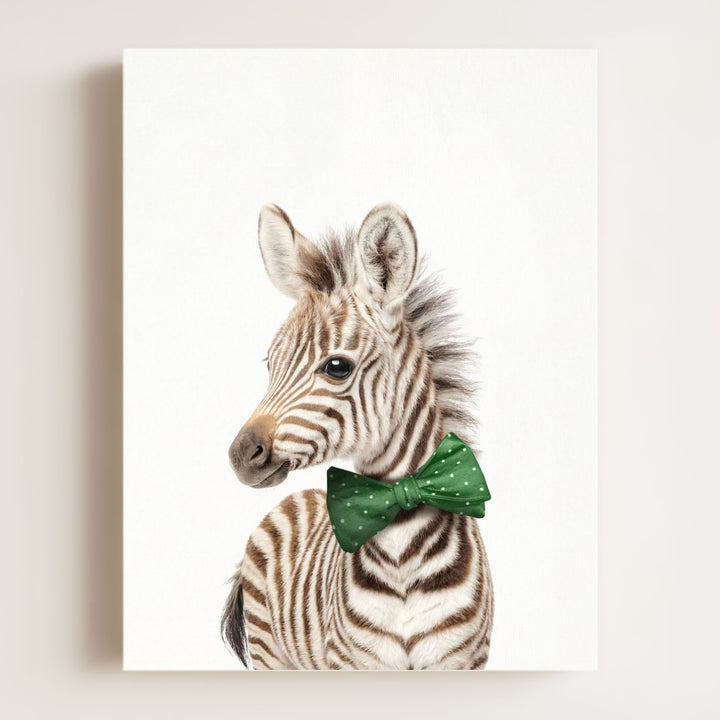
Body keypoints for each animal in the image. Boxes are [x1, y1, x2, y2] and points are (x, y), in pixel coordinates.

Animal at [222, 202, 493, 670]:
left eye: (337, 367)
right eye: (270, 363)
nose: (241, 454)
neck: (402, 551)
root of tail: (296, 498)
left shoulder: (461, 661)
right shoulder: (353, 662)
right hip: (270, 651)